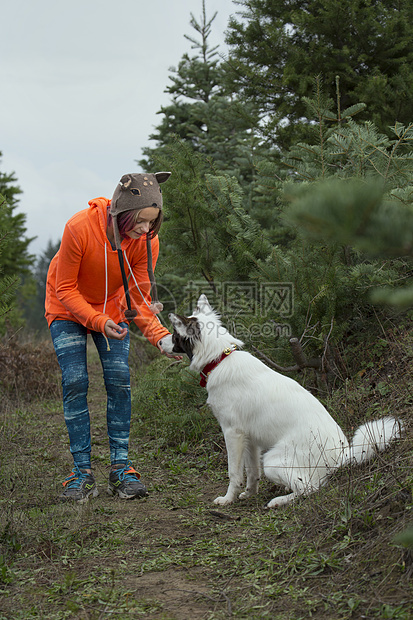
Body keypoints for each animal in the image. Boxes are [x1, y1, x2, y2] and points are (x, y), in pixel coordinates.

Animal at [160, 296, 402, 508]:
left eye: (174, 335)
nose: (160, 341)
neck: (220, 358)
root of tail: (341, 455)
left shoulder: (232, 433)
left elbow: (234, 472)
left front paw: (228, 499)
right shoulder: (249, 439)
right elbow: (252, 472)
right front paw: (249, 493)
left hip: (273, 460)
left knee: (310, 488)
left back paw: (279, 501)